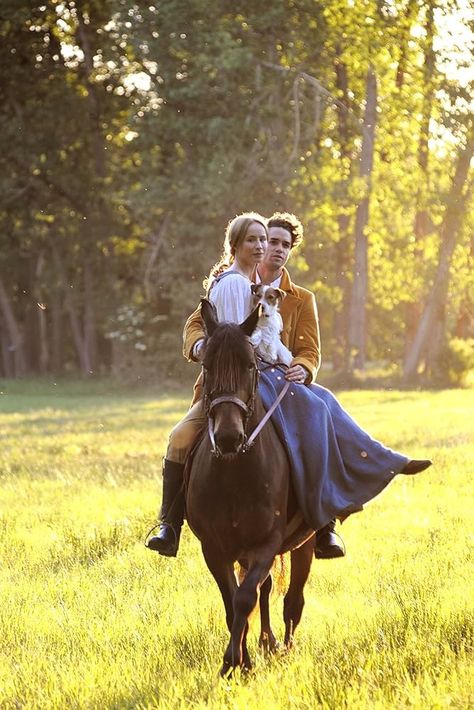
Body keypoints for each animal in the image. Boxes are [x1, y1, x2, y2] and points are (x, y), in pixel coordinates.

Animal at [185, 300, 314, 680]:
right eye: (207, 365)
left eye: (250, 365)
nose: (228, 436)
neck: (234, 474)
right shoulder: (214, 548)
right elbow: (233, 602)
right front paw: (238, 660)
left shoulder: (265, 544)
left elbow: (244, 598)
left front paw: (234, 663)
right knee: (265, 589)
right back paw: (267, 642)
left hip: (304, 544)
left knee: (293, 597)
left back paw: (284, 646)